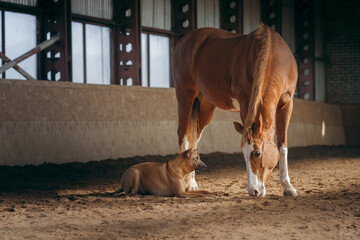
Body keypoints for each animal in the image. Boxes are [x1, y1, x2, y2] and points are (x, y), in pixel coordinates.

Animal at [172, 24, 298, 197]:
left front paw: (288, 187)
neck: (275, 57)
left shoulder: (286, 104)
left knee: (194, 139)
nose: (254, 191)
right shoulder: (246, 103)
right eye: (242, 154)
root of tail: (183, 40)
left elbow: (282, 144)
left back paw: (193, 183)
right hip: (185, 96)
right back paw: (187, 184)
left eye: (257, 153)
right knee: (183, 135)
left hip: (205, 106)